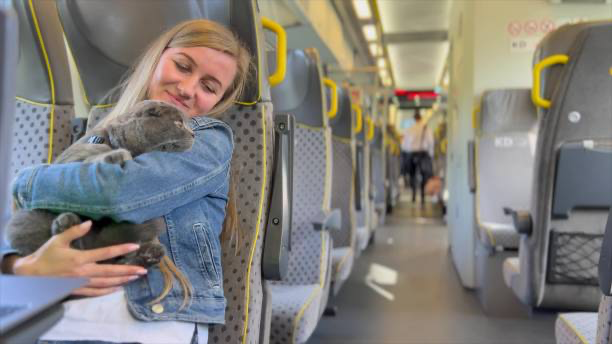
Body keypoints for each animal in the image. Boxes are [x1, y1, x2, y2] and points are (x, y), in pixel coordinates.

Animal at [6, 101, 194, 268]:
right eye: (179, 124)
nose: (193, 134)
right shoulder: (68, 160)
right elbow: (97, 153)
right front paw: (116, 155)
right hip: (29, 218)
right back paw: (68, 225)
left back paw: (148, 253)